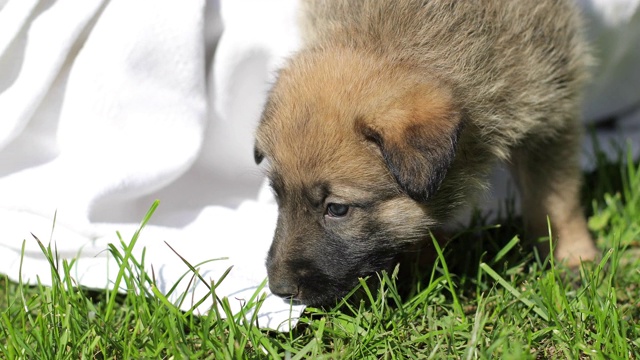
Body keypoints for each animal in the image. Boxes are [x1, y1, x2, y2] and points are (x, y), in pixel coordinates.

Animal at [254, 0, 600, 306]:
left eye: (337, 209)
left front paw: (574, 259)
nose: (279, 290)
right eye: (277, 195)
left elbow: (556, 201)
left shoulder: (551, 110)